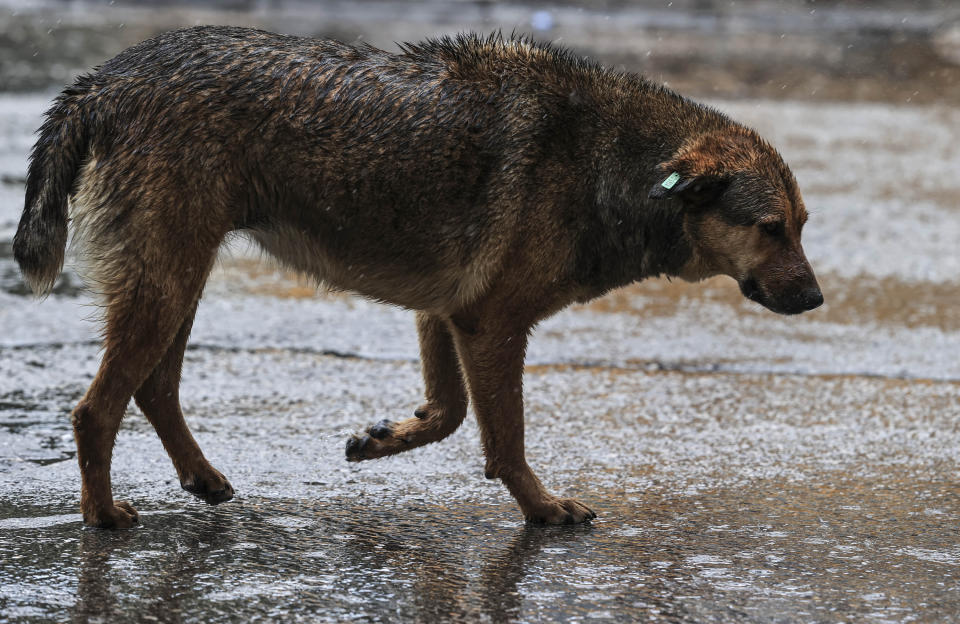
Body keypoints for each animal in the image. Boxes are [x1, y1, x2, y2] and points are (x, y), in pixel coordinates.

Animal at [13, 26, 824, 528]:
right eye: (769, 228)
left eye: (803, 226)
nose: (817, 299)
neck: (617, 166)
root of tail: (109, 77)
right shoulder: (492, 326)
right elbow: (506, 440)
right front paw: (542, 509)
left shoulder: (448, 314)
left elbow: (451, 413)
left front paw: (381, 439)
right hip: (166, 284)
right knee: (94, 410)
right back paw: (102, 516)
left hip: (179, 281)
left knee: (153, 389)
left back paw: (201, 478)